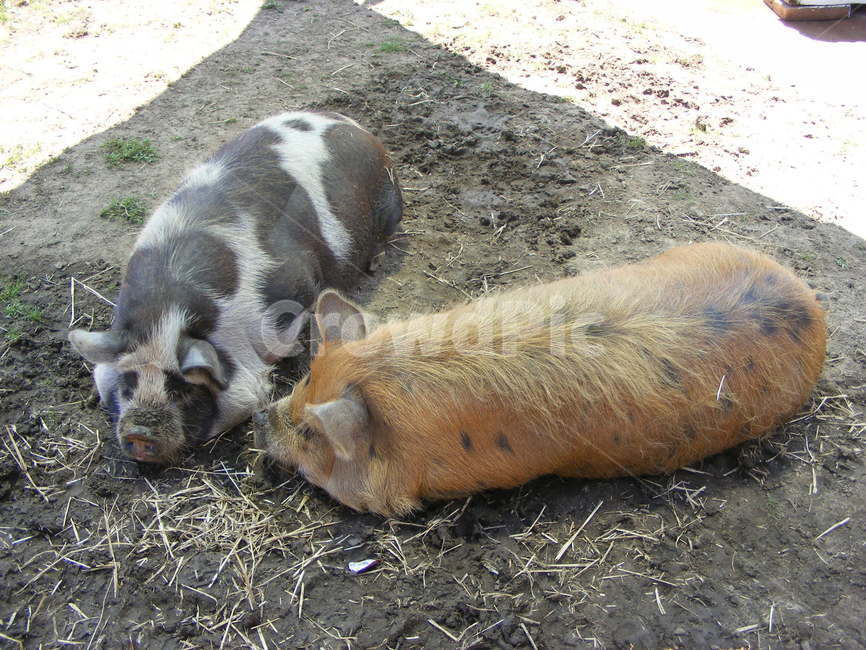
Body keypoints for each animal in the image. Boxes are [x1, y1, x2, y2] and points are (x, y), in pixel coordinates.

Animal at [68, 111, 402, 464]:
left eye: (183, 388)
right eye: (128, 384)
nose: (139, 432)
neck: (164, 314)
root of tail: (356, 126)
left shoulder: (297, 290)